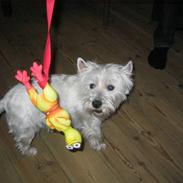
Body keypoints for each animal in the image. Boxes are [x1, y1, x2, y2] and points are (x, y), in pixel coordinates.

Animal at [0, 58, 134, 155]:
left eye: (111, 87)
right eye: (91, 85)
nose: (96, 104)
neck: (84, 94)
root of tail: (6, 98)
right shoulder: (92, 122)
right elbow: (96, 135)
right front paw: (99, 145)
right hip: (25, 127)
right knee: (22, 142)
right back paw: (30, 151)